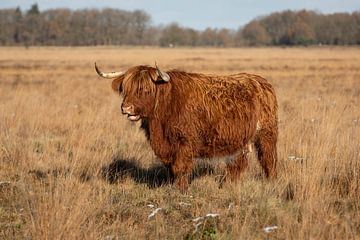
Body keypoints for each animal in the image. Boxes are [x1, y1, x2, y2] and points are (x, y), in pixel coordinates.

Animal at [95, 62, 278, 192]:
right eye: (125, 89)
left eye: (145, 89)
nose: (126, 108)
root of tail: (261, 81)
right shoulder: (166, 146)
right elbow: (171, 168)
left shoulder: (185, 143)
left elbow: (180, 167)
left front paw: (181, 190)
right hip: (242, 138)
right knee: (239, 162)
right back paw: (228, 184)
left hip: (266, 133)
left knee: (268, 159)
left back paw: (270, 183)